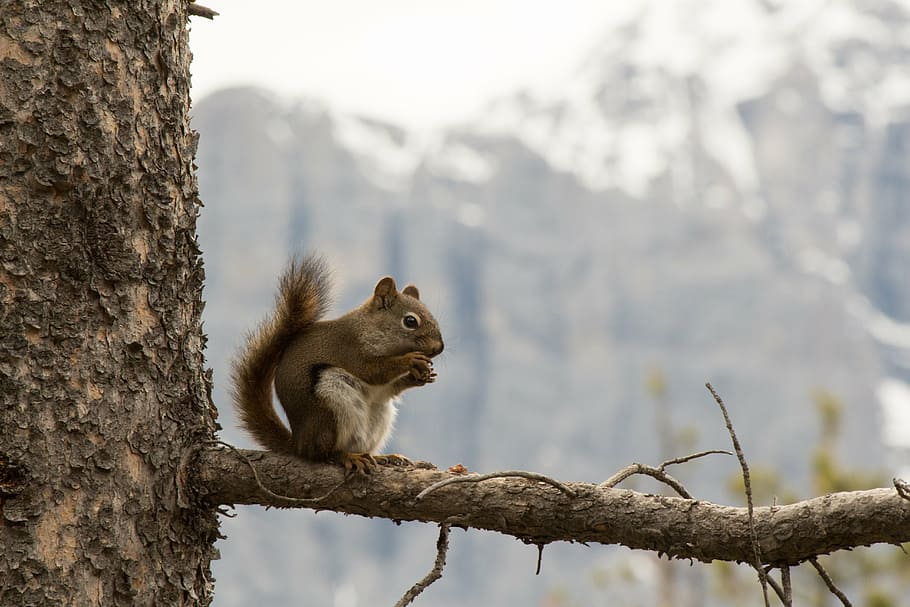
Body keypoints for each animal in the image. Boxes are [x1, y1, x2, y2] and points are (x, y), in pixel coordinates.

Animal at [231, 256, 444, 473]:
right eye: (410, 321)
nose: (439, 348)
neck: (370, 328)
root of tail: (298, 444)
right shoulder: (350, 350)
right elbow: (373, 372)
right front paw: (410, 361)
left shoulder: (381, 387)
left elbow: (389, 388)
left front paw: (421, 376)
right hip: (330, 409)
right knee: (324, 454)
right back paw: (347, 456)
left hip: (379, 416)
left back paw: (385, 456)